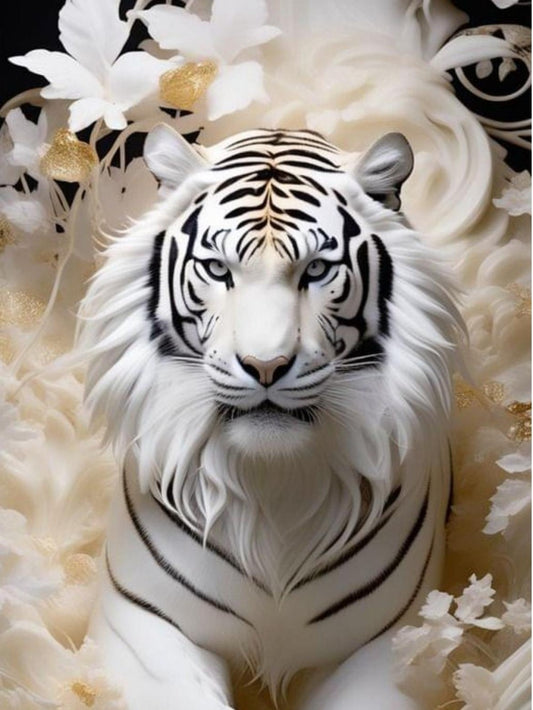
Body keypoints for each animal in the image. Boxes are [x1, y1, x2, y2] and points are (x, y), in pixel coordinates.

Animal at [79, 126, 463, 710]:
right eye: (218, 269)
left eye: (317, 269)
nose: (265, 365)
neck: (273, 486)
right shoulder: (142, 625)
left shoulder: (388, 643)